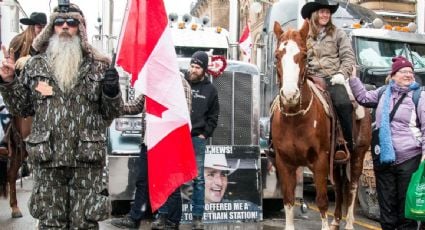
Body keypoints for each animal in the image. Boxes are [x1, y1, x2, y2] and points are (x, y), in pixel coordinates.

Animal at [272, 20, 372, 229]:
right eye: (277, 55)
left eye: (304, 55)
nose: (290, 95)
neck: (295, 119)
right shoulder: (284, 162)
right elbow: (288, 200)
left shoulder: (319, 161)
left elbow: (322, 200)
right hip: (337, 160)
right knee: (340, 186)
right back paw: (336, 221)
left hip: (358, 155)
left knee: (352, 187)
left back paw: (349, 223)